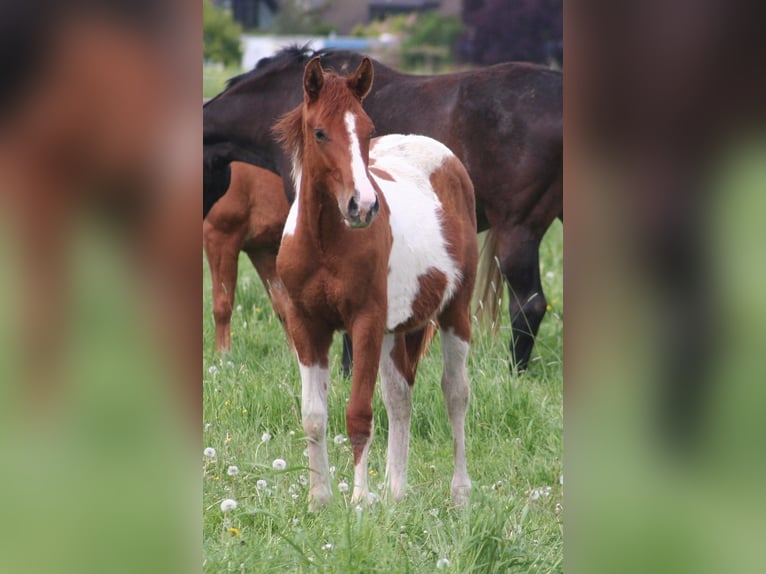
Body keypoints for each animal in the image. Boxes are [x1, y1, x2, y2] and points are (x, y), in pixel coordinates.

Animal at [272, 56, 478, 509]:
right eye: (320, 132)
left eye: (367, 130)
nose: (363, 206)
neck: (324, 243)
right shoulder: (306, 325)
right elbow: (314, 417)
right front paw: (320, 499)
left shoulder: (364, 323)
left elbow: (358, 414)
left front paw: (359, 501)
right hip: (394, 330)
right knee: (400, 398)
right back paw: (395, 492)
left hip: (455, 313)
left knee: (455, 393)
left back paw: (459, 493)